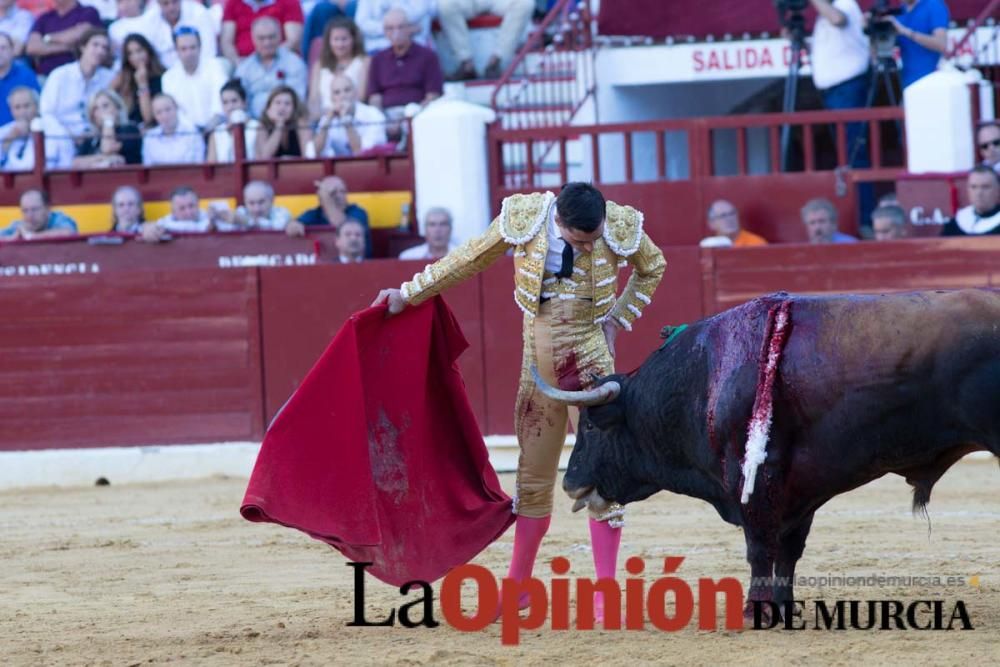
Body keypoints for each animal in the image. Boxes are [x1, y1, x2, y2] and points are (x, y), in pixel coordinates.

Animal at [540, 290, 1000, 620]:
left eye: (592, 426)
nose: (569, 483)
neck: (703, 380)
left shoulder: (757, 477)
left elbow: (759, 545)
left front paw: (755, 610)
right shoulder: (799, 487)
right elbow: (787, 548)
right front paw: (783, 606)